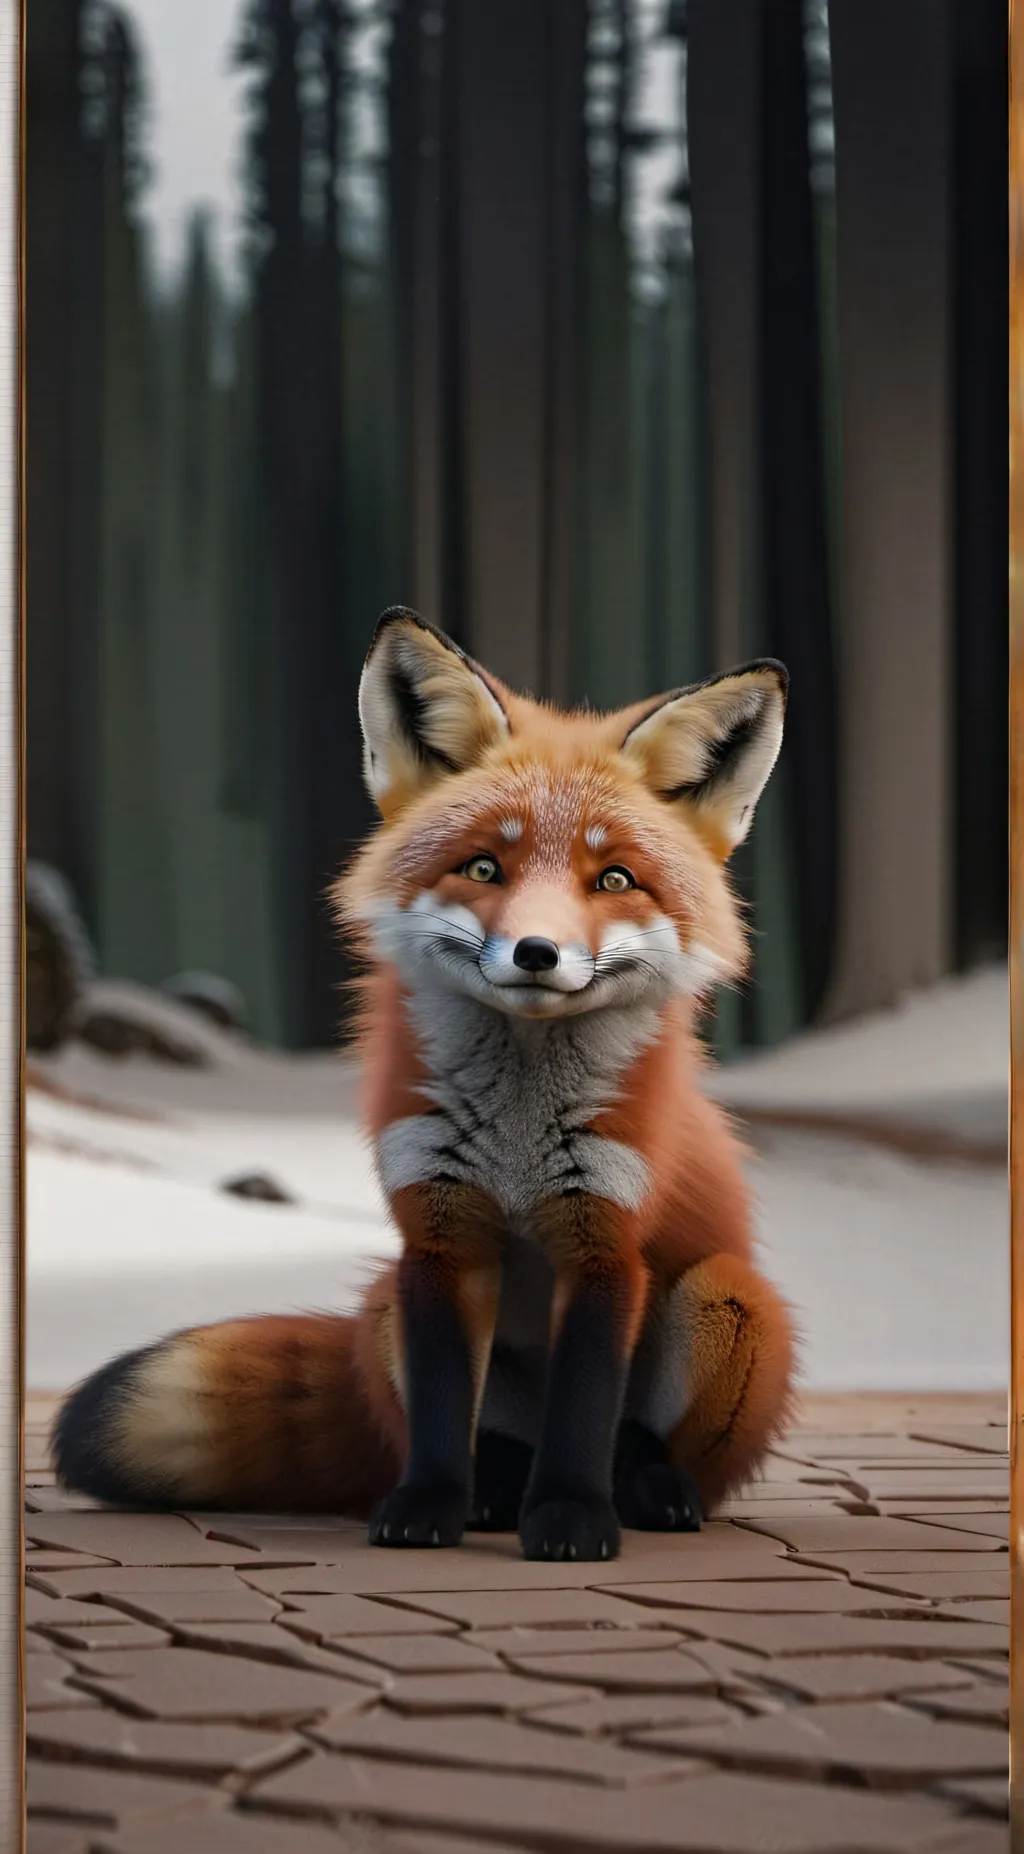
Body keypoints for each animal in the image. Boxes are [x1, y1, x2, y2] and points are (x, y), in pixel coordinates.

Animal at [52, 608, 798, 1563]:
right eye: (483, 868)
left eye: (614, 879)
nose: (537, 953)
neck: (520, 1139)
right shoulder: (440, 1238)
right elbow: (445, 1413)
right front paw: (430, 1507)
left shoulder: (604, 1244)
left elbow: (584, 1412)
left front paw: (571, 1516)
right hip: (385, 1301)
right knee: (490, 1436)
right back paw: (494, 1494)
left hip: (730, 1297)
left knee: (644, 1444)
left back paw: (649, 1491)